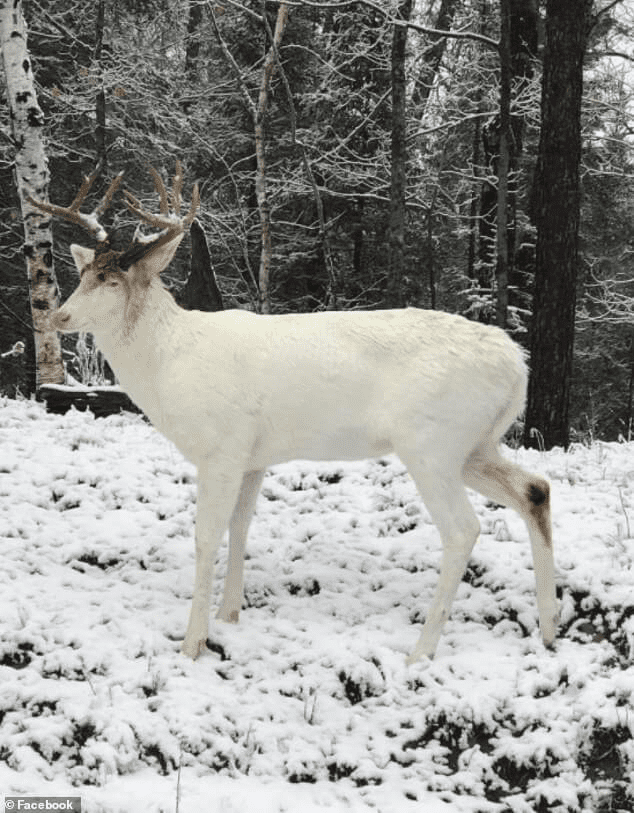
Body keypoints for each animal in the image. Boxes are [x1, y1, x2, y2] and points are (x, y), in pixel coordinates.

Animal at [30, 167, 552, 668]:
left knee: (464, 529)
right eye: (84, 274)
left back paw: (422, 651)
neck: (167, 366)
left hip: (432, 443)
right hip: (476, 446)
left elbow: (205, 537)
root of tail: (517, 365)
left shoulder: (221, 447)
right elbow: (240, 528)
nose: (60, 317)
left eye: (112, 281)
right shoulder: (253, 456)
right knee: (536, 490)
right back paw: (549, 626)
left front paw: (193, 642)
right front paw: (230, 614)